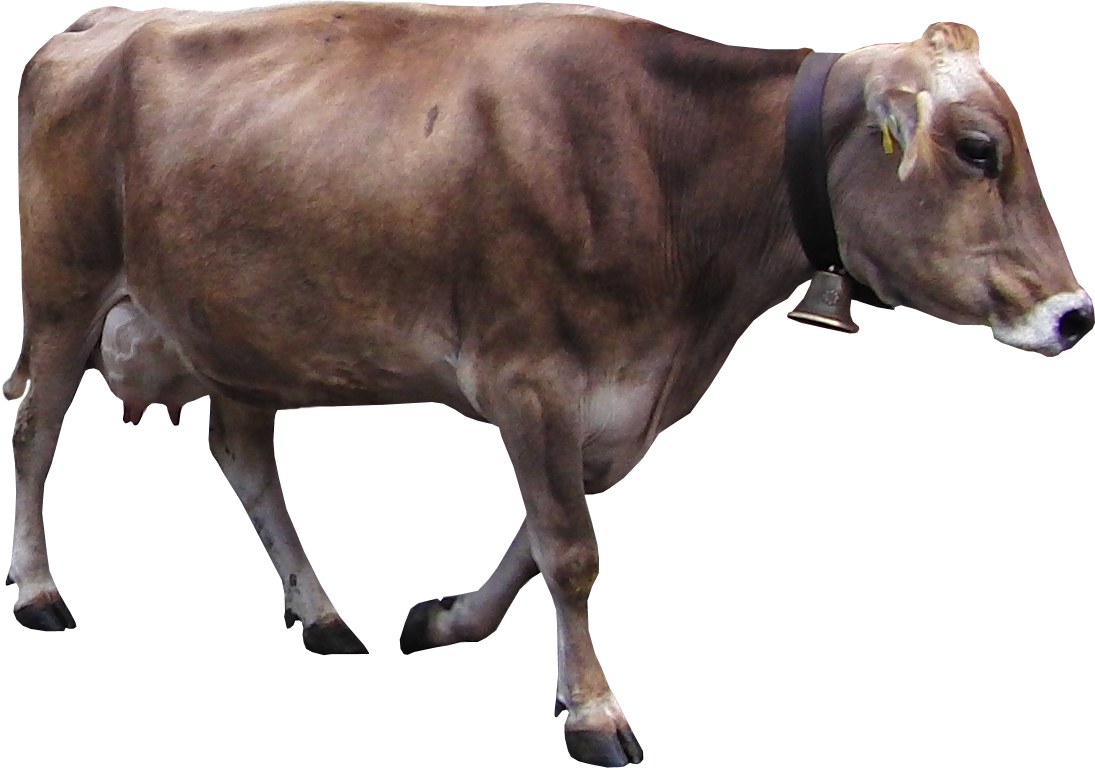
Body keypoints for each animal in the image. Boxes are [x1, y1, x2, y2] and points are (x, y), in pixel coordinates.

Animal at [6, 2, 1093, 765]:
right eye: (979, 149)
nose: (1073, 312)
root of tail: (106, 22)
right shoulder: (527, 377)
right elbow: (570, 552)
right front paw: (594, 709)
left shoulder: (609, 405)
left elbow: (537, 539)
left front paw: (439, 620)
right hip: (65, 293)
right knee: (35, 434)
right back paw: (39, 588)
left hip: (236, 320)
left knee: (242, 454)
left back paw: (320, 615)